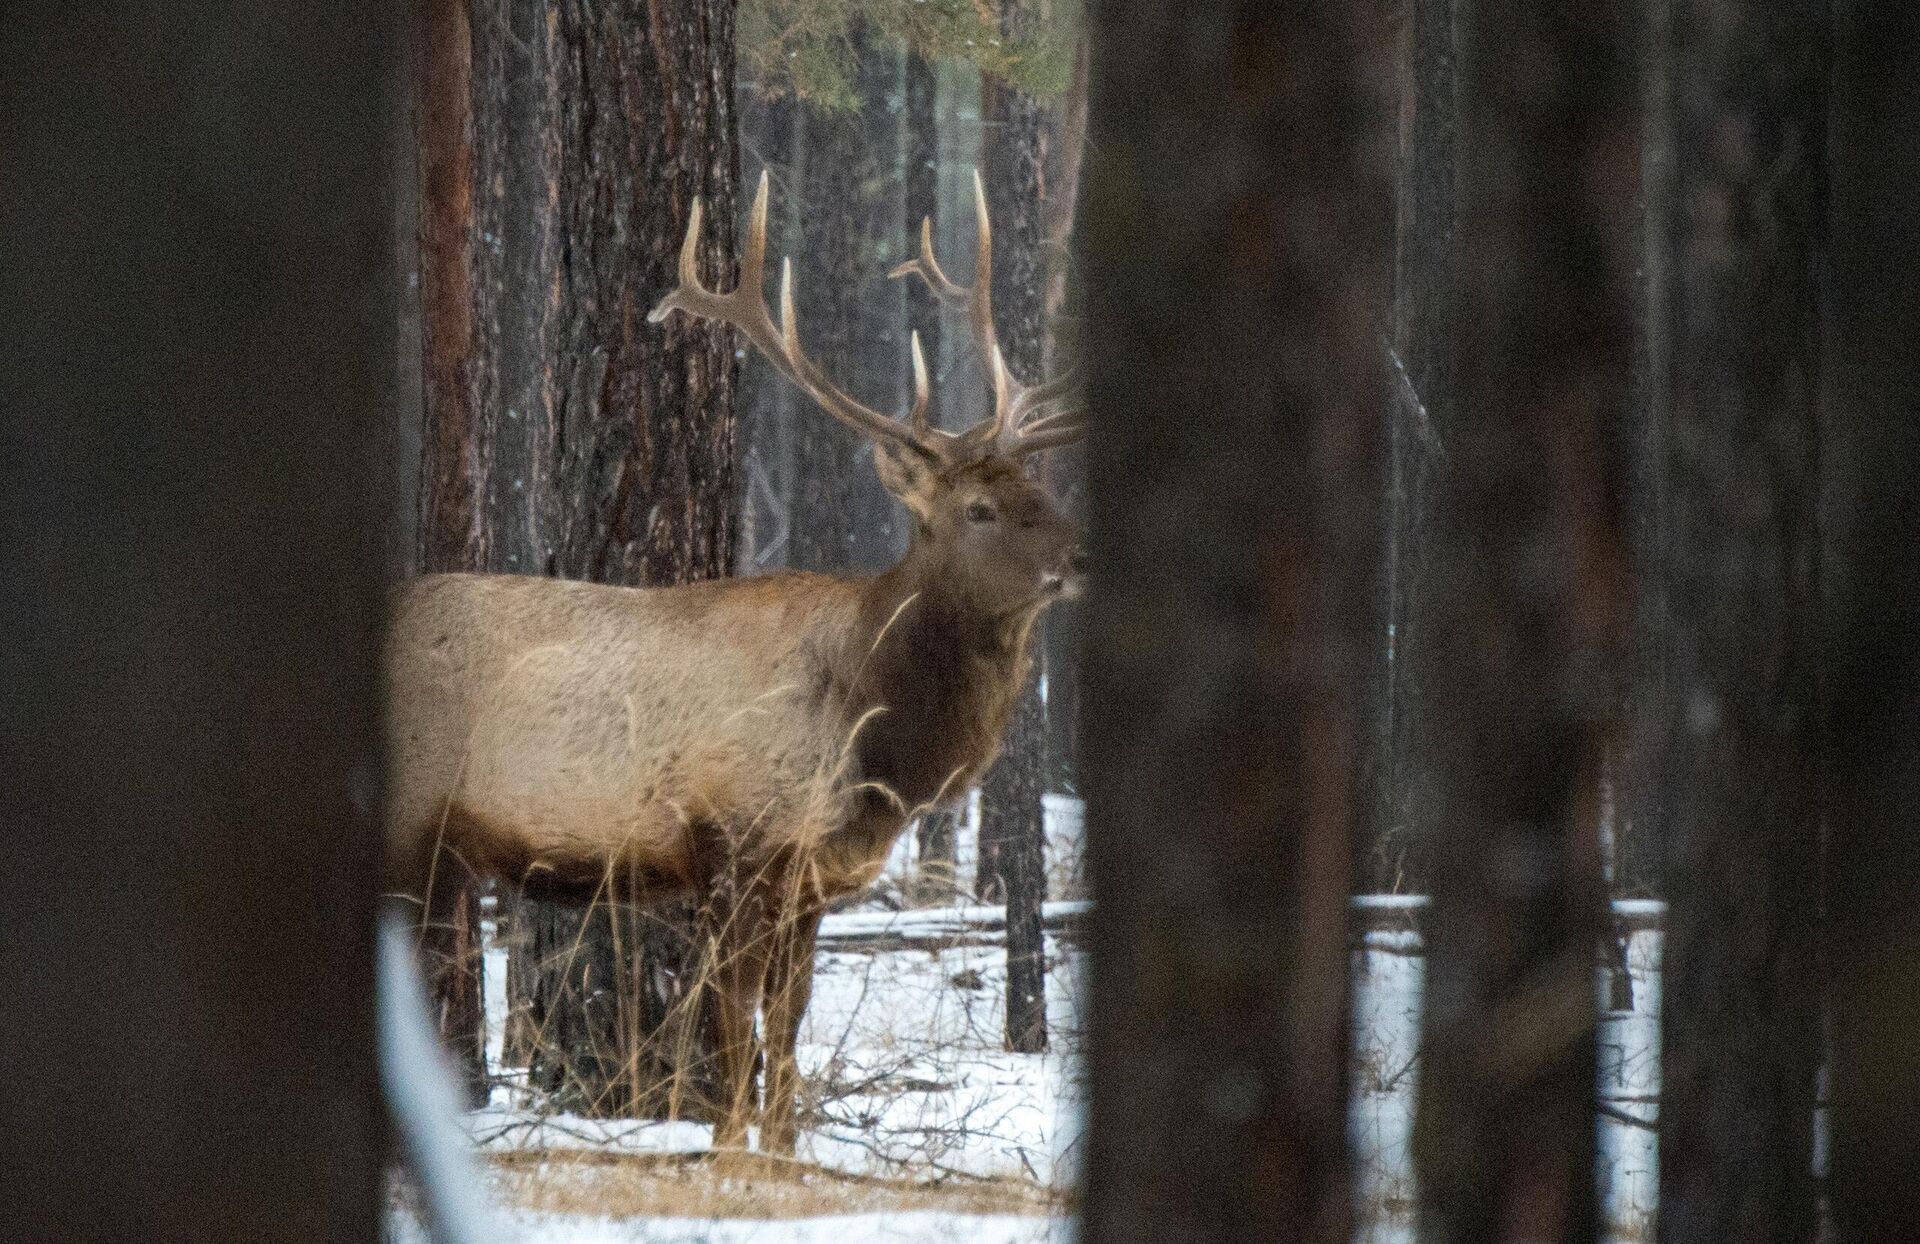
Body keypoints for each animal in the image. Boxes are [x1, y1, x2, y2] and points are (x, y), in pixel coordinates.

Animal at [382, 169, 1090, 1151]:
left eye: (1039, 486)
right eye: (980, 509)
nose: (1082, 554)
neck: (875, 748)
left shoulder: (814, 882)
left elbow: (785, 1031)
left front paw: (783, 1153)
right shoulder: (731, 845)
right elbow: (730, 1029)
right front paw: (726, 1150)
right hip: (409, 818)